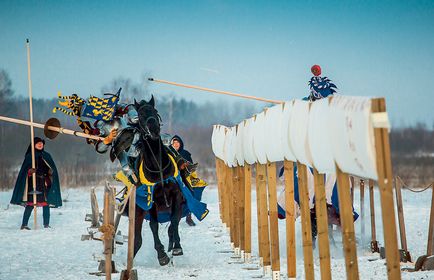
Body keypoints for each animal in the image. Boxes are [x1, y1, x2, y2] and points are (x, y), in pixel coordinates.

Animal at [133, 96, 186, 264]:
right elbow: (154, 225)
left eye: (155, 111)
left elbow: (174, 221)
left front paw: (176, 247)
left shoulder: (177, 195)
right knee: (138, 237)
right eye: (140, 115)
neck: (158, 167)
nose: (154, 129)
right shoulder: (151, 200)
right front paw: (161, 254)